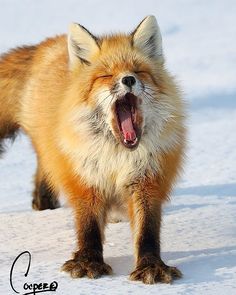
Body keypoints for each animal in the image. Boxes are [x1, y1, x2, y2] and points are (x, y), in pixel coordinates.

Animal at [0, 16, 185, 284]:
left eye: (138, 71)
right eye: (106, 75)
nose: (128, 80)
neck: (118, 156)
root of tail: (47, 44)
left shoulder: (146, 181)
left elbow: (147, 231)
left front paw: (151, 266)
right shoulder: (86, 179)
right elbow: (88, 227)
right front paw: (87, 263)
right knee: (45, 162)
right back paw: (43, 201)